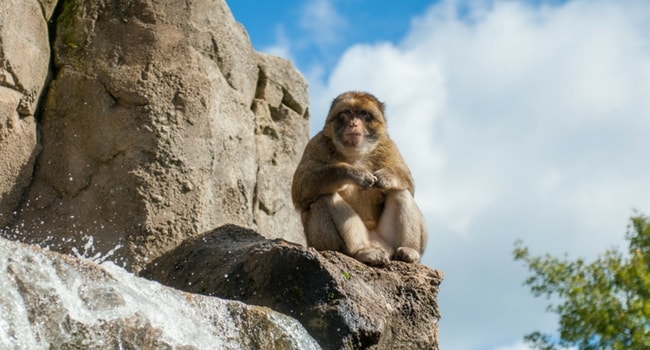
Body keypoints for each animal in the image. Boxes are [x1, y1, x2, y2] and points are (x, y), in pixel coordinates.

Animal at [290, 90, 426, 266]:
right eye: (347, 113)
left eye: (363, 114)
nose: (354, 124)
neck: (356, 153)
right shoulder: (318, 143)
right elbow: (301, 185)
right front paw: (353, 173)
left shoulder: (388, 144)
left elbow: (409, 183)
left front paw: (385, 177)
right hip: (322, 242)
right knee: (326, 196)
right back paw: (362, 252)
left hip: (386, 240)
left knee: (400, 192)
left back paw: (409, 250)